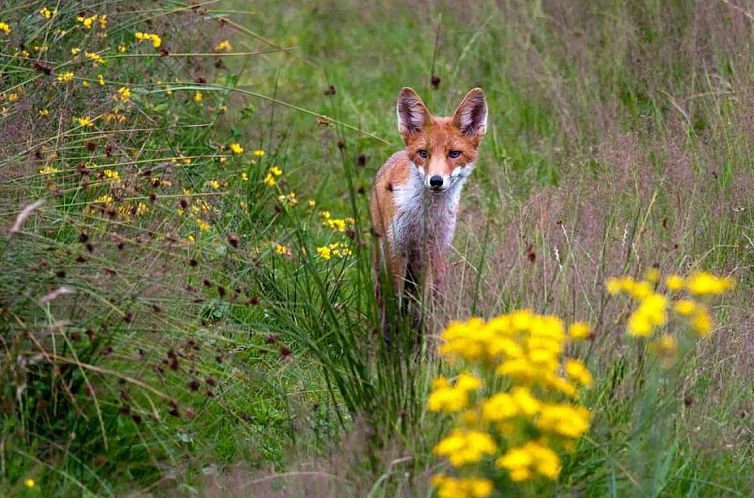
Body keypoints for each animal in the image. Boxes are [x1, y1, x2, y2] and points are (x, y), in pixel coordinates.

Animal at [370, 87, 488, 332]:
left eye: (454, 154)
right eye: (424, 153)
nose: (435, 181)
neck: (423, 218)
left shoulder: (434, 251)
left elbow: (427, 306)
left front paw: (424, 335)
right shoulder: (397, 248)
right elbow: (395, 303)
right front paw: (395, 337)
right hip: (380, 256)